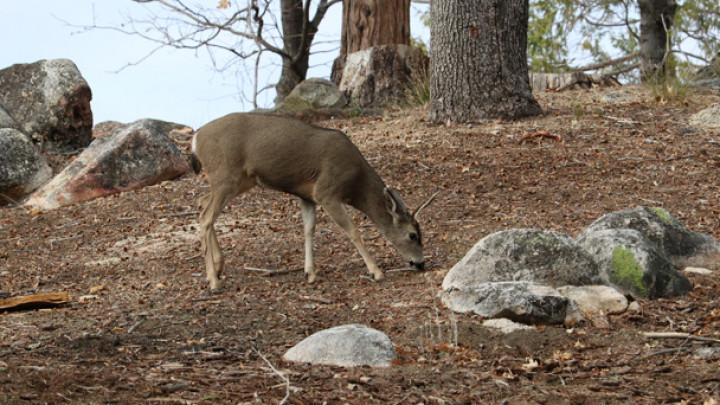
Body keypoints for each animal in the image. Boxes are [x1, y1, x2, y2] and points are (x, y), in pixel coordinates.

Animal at [190, 111, 434, 290]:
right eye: (413, 235)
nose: (420, 263)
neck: (355, 183)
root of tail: (195, 139)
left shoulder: (308, 196)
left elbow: (309, 229)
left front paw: (310, 272)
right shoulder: (327, 191)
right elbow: (353, 231)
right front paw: (377, 272)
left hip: (238, 180)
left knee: (202, 202)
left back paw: (218, 268)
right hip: (225, 174)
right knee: (206, 217)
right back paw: (213, 281)